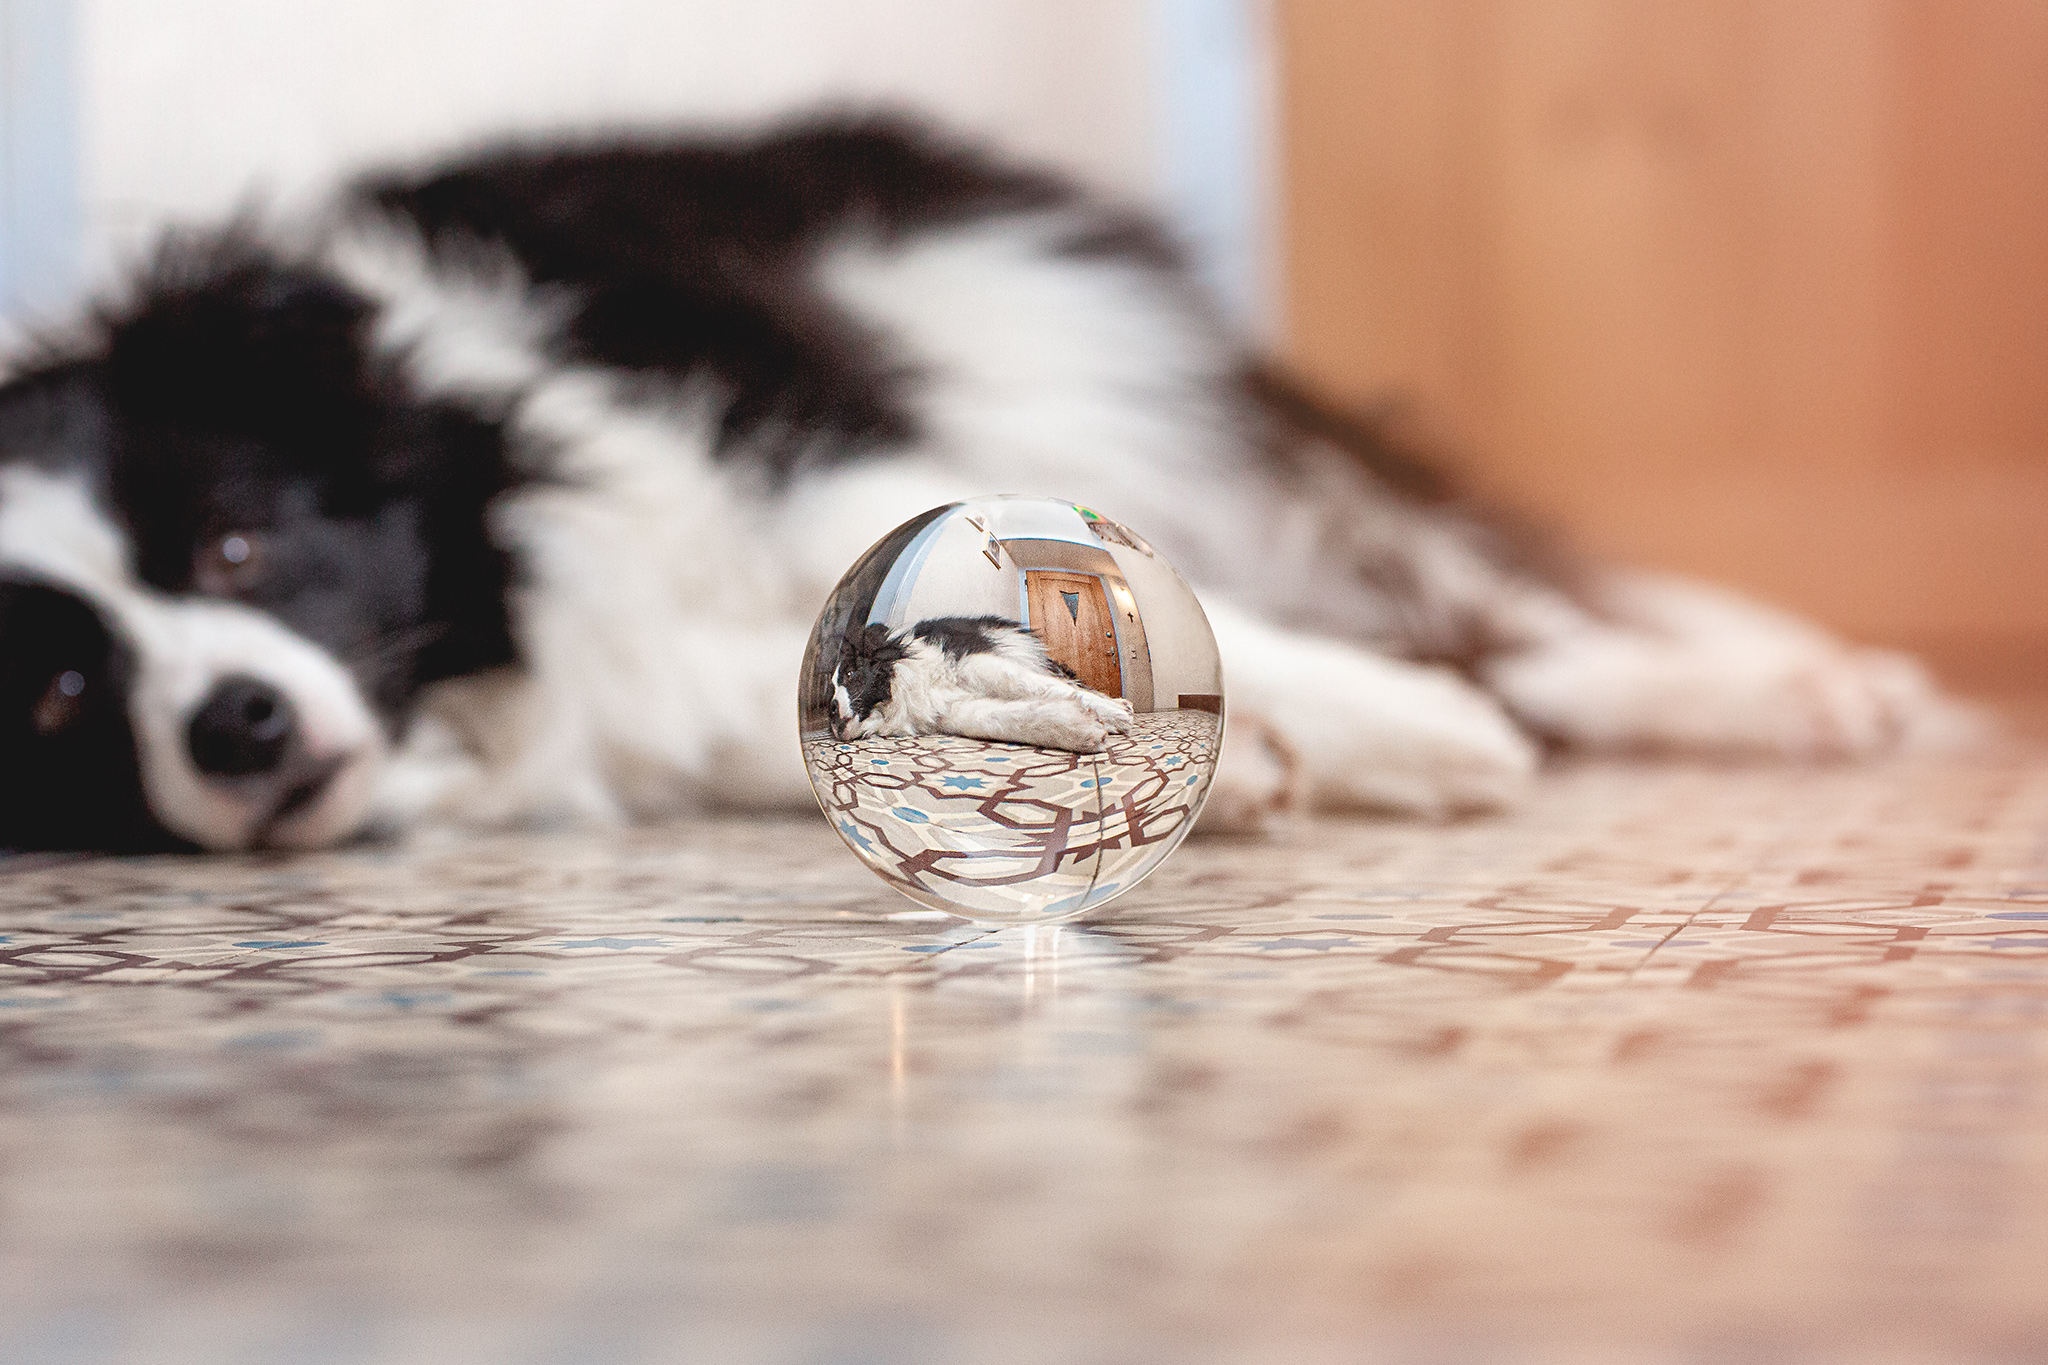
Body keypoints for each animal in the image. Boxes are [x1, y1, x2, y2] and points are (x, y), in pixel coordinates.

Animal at [0, 114, 1957, 855]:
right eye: (61, 696)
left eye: (239, 542)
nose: (235, 723)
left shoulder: (811, 467)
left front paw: (1387, 731)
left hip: (1033, 334)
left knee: (1484, 593)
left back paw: (1775, 689)